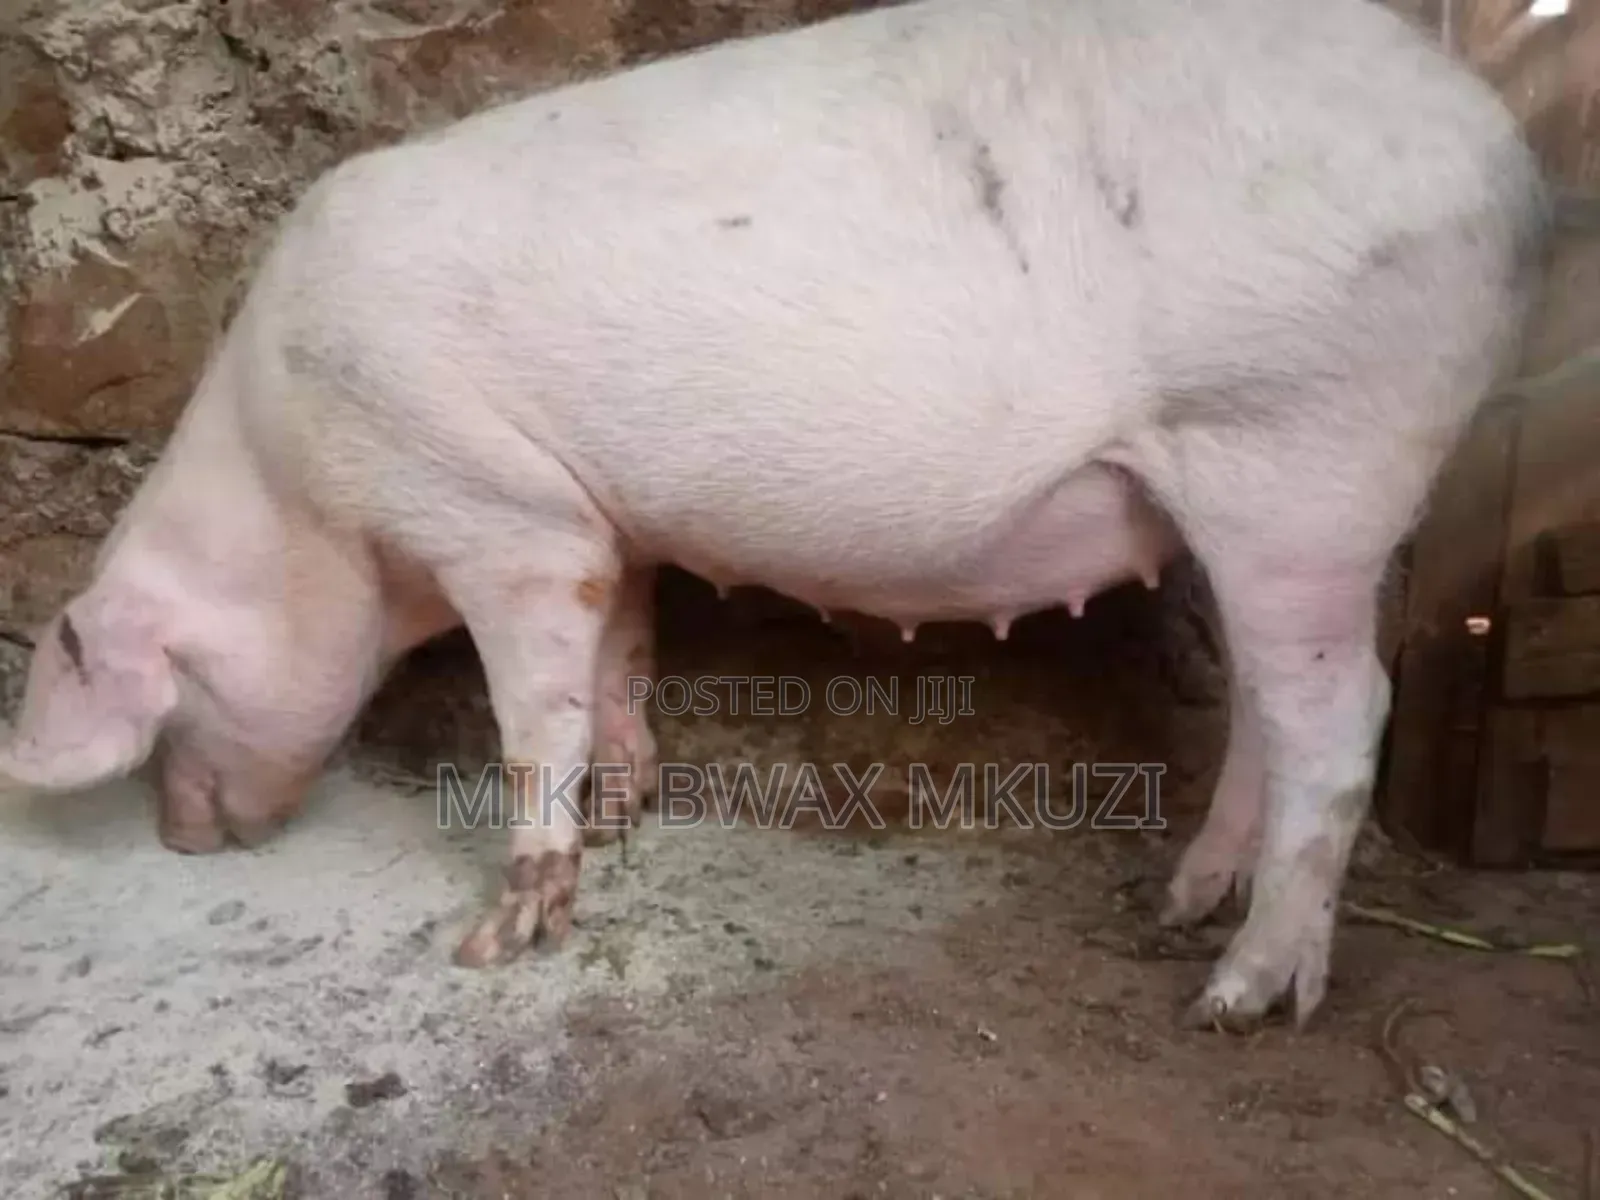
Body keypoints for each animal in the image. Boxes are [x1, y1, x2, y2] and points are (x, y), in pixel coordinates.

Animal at [0, 0, 1550, 1031]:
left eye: (167, 709)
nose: (180, 840)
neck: (296, 479)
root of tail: (1505, 152)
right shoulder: (598, 525)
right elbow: (619, 658)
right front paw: (631, 810)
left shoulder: (496, 512)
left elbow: (532, 716)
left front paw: (496, 942)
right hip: (1262, 500)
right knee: (1267, 717)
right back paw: (1176, 907)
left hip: (1306, 447)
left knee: (1342, 721)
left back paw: (1239, 1001)